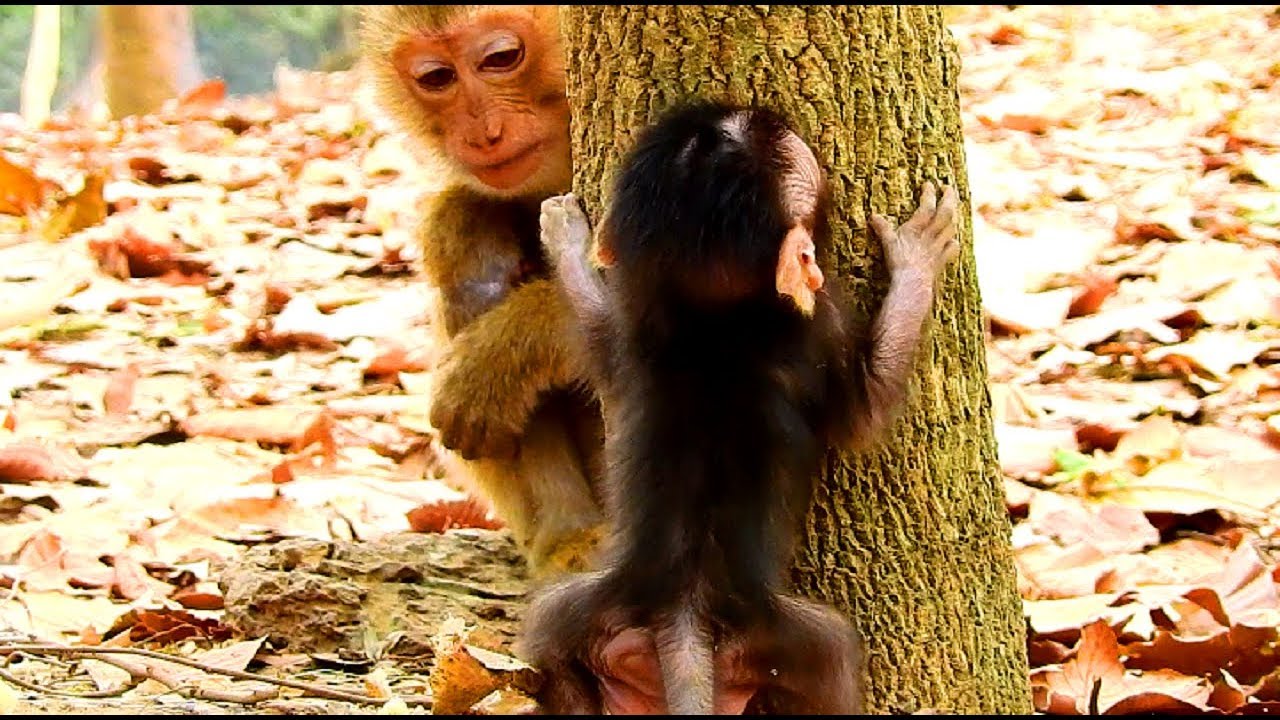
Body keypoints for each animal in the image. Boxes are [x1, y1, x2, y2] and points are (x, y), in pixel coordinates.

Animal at [358, 6, 606, 573]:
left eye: (501, 57)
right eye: (436, 78)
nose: (484, 133)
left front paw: (516, 340)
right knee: (467, 241)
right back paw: (569, 537)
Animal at [517, 103, 961, 714]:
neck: (712, 321)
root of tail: (681, 617)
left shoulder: (633, 335)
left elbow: (596, 329)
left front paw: (566, 238)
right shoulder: (818, 327)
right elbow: (864, 414)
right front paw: (918, 258)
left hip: (594, 613)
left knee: (546, 630)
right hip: (773, 636)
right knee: (834, 657)